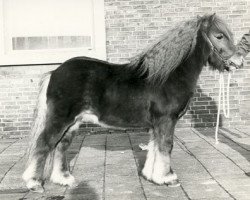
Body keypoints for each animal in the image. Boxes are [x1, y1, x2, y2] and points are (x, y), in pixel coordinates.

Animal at [22, 14, 235, 192]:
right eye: (219, 36)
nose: (237, 62)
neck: (168, 76)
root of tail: (54, 73)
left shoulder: (156, 124)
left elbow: (154, 147)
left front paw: (153, 176)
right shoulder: (166, 120)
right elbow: (166, 146)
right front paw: (168, 178)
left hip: (73, 124)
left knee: (60, 147)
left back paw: (65, 180)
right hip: (60, 120)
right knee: (43, 144)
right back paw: (34, 183)